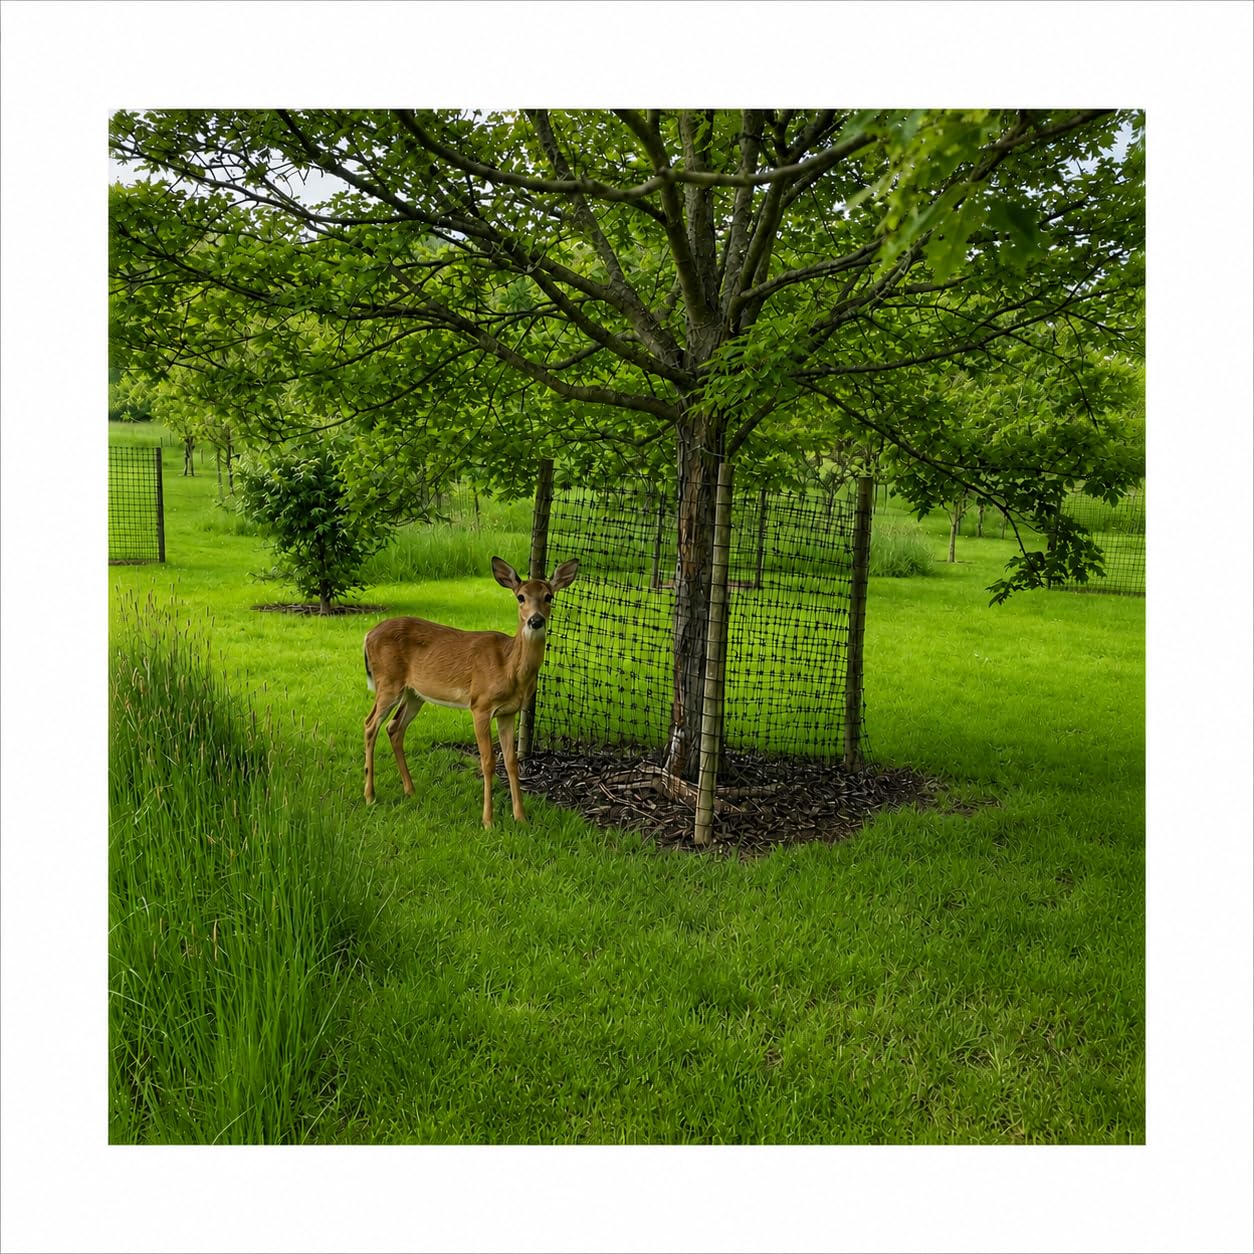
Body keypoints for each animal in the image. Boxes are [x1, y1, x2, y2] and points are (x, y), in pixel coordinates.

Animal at [362, 555, 580, 827]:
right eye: (520, 597)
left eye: (548, 596)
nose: (536, 620)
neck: (509, 666)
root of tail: (367, 635)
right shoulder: (480, 705)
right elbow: (488, 761)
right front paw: (488, 821)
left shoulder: (508, 712)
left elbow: (511, 762)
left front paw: (521, 817)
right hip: (388, 682)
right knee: (370, 724)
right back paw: (370, 795)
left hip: (414, 694)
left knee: (394, 728)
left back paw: (410, 790)